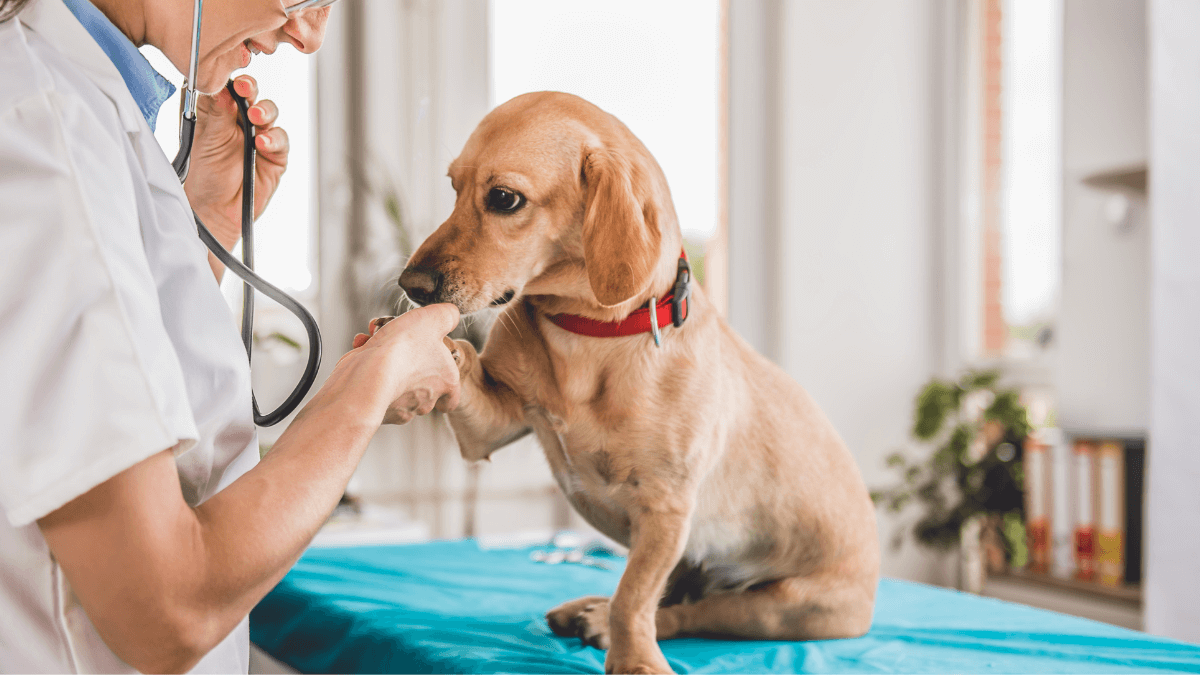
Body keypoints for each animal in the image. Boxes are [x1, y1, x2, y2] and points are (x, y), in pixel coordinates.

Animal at [398, 90, 878, 672]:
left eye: (505, 199)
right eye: (453, 187)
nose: (410, 285)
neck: (586, 333)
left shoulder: (664, 509)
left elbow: (634, 598)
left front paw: (633, 659)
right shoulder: (490, 428)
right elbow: (465, 367)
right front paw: (421, 347)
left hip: (783, 608)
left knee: (688, 612)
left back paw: (603, 621)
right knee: (671, 599)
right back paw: (589, 609)